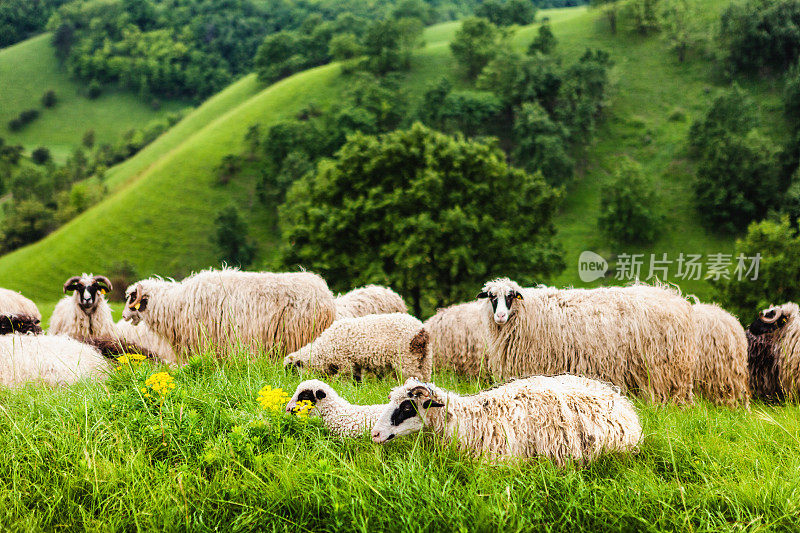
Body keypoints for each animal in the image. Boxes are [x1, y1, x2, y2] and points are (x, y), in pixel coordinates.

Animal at [282, 312, 432, 382]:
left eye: (291, 369)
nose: (289, 382)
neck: (323, 350)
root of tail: (420, 330)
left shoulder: (344, 363)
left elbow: (345, 378)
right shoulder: (355, 363)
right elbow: (357, 380)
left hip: (406, 359)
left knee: (414, 377)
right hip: (425, 359)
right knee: (425, 377)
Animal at [478, 278, 696, 404]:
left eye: (510, 296)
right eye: (491, 297)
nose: (500, 316)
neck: (528, 311)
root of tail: (675, 299)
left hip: (663, 367)